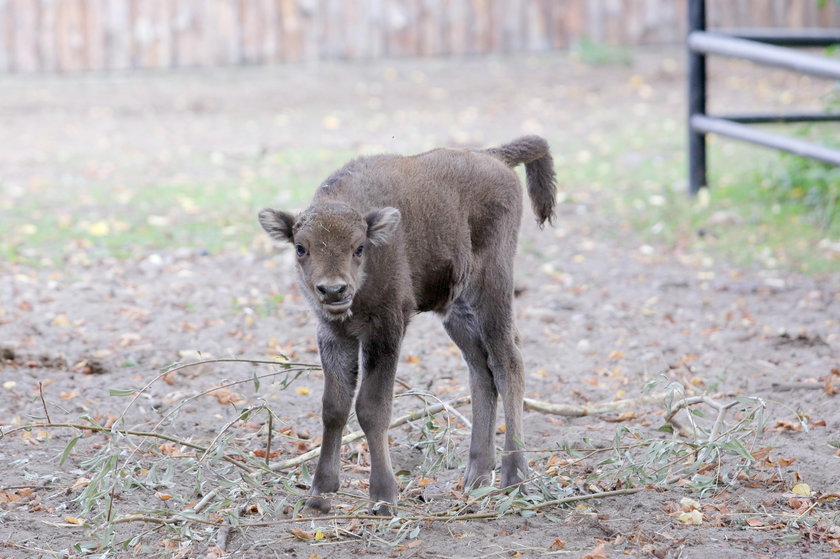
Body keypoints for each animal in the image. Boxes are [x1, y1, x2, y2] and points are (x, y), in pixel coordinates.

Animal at [260, 136, 556, 516]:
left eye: (359, 248)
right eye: (301, 248)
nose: (333, 290)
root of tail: (494, 157)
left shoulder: (386, 330)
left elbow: (372, 408)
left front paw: (384, 497)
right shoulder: (333, 334)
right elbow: (334, 407)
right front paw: (320, 493)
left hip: (492, 289)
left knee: (508, 364)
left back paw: (514, 477)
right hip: (457, 311)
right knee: (481, 371)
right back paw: (476, 476)